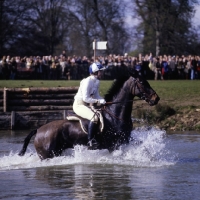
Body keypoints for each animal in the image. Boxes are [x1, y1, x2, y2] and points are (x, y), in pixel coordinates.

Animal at [18, 70, 159, 159]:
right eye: (142, 82)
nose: (156, 99)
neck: (115, 115)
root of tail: (38, 130)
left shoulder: (126, 140)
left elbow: (142, 146)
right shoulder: (114, 145)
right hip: (47, 155)